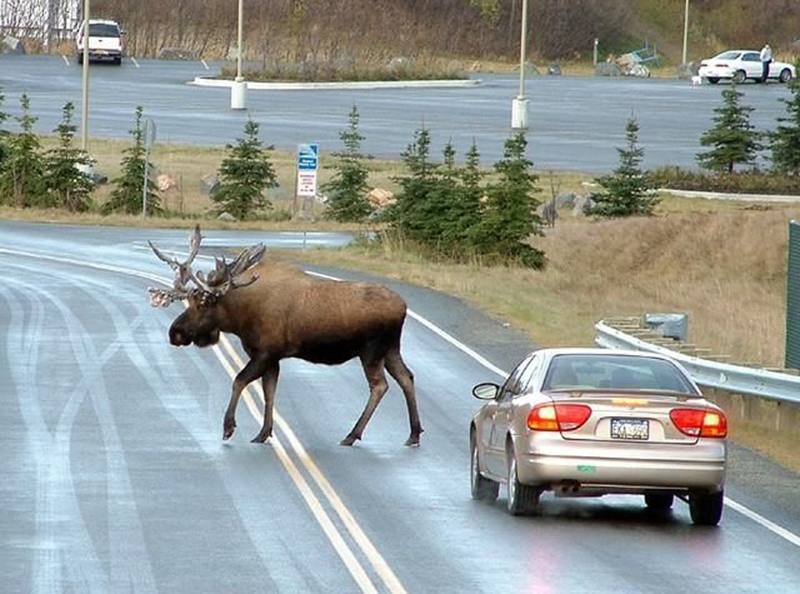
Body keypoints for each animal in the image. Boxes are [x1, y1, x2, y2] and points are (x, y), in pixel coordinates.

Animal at [151, 225, 424, 444]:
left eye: (204, 304)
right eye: (189, 301)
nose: (175, 332)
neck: (240, 317)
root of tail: (404, 307)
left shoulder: (265, 352)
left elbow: (239, 381)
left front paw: (228, 427)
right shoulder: (272, 358)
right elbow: (269, 391)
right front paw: (263, 433)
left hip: (371, 351)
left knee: (380, 386)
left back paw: (352, 434)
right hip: (391, 349)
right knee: (406, 377)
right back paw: (413, 433)